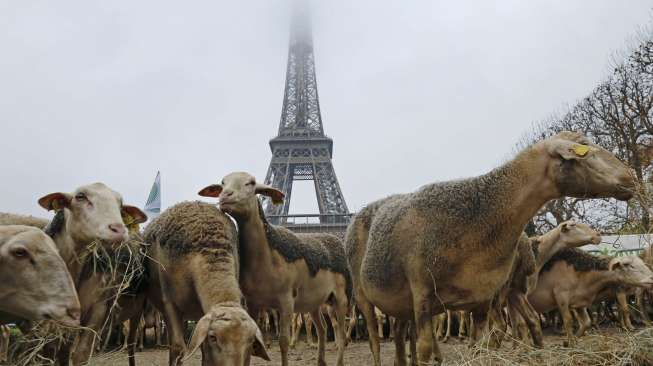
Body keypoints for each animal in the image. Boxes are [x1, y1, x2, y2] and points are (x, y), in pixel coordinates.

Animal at [346, 131, 636, 364]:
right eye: (584, 147)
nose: (630, 177)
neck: (478, 218)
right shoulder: (423, 295)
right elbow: (427, 347)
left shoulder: (482, 299)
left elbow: (484, 343)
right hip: (363, 296)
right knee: (374, 342)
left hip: (400, 303)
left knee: (398, 336)